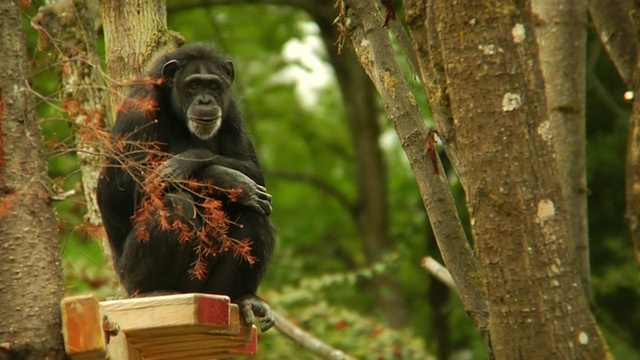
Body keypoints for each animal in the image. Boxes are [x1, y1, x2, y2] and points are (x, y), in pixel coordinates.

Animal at [96, 43, 276, 332]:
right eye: (193, 85)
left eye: (213, 85)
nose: (205, 100)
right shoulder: (139, 108)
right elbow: (119, 189)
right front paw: (224, 176)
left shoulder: (232, 111)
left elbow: (252, 168)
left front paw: (199, 163)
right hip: (130, 277)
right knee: (175, 204)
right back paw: (154, 290)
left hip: (209, 288)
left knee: (252, 213)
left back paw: (244, 296)